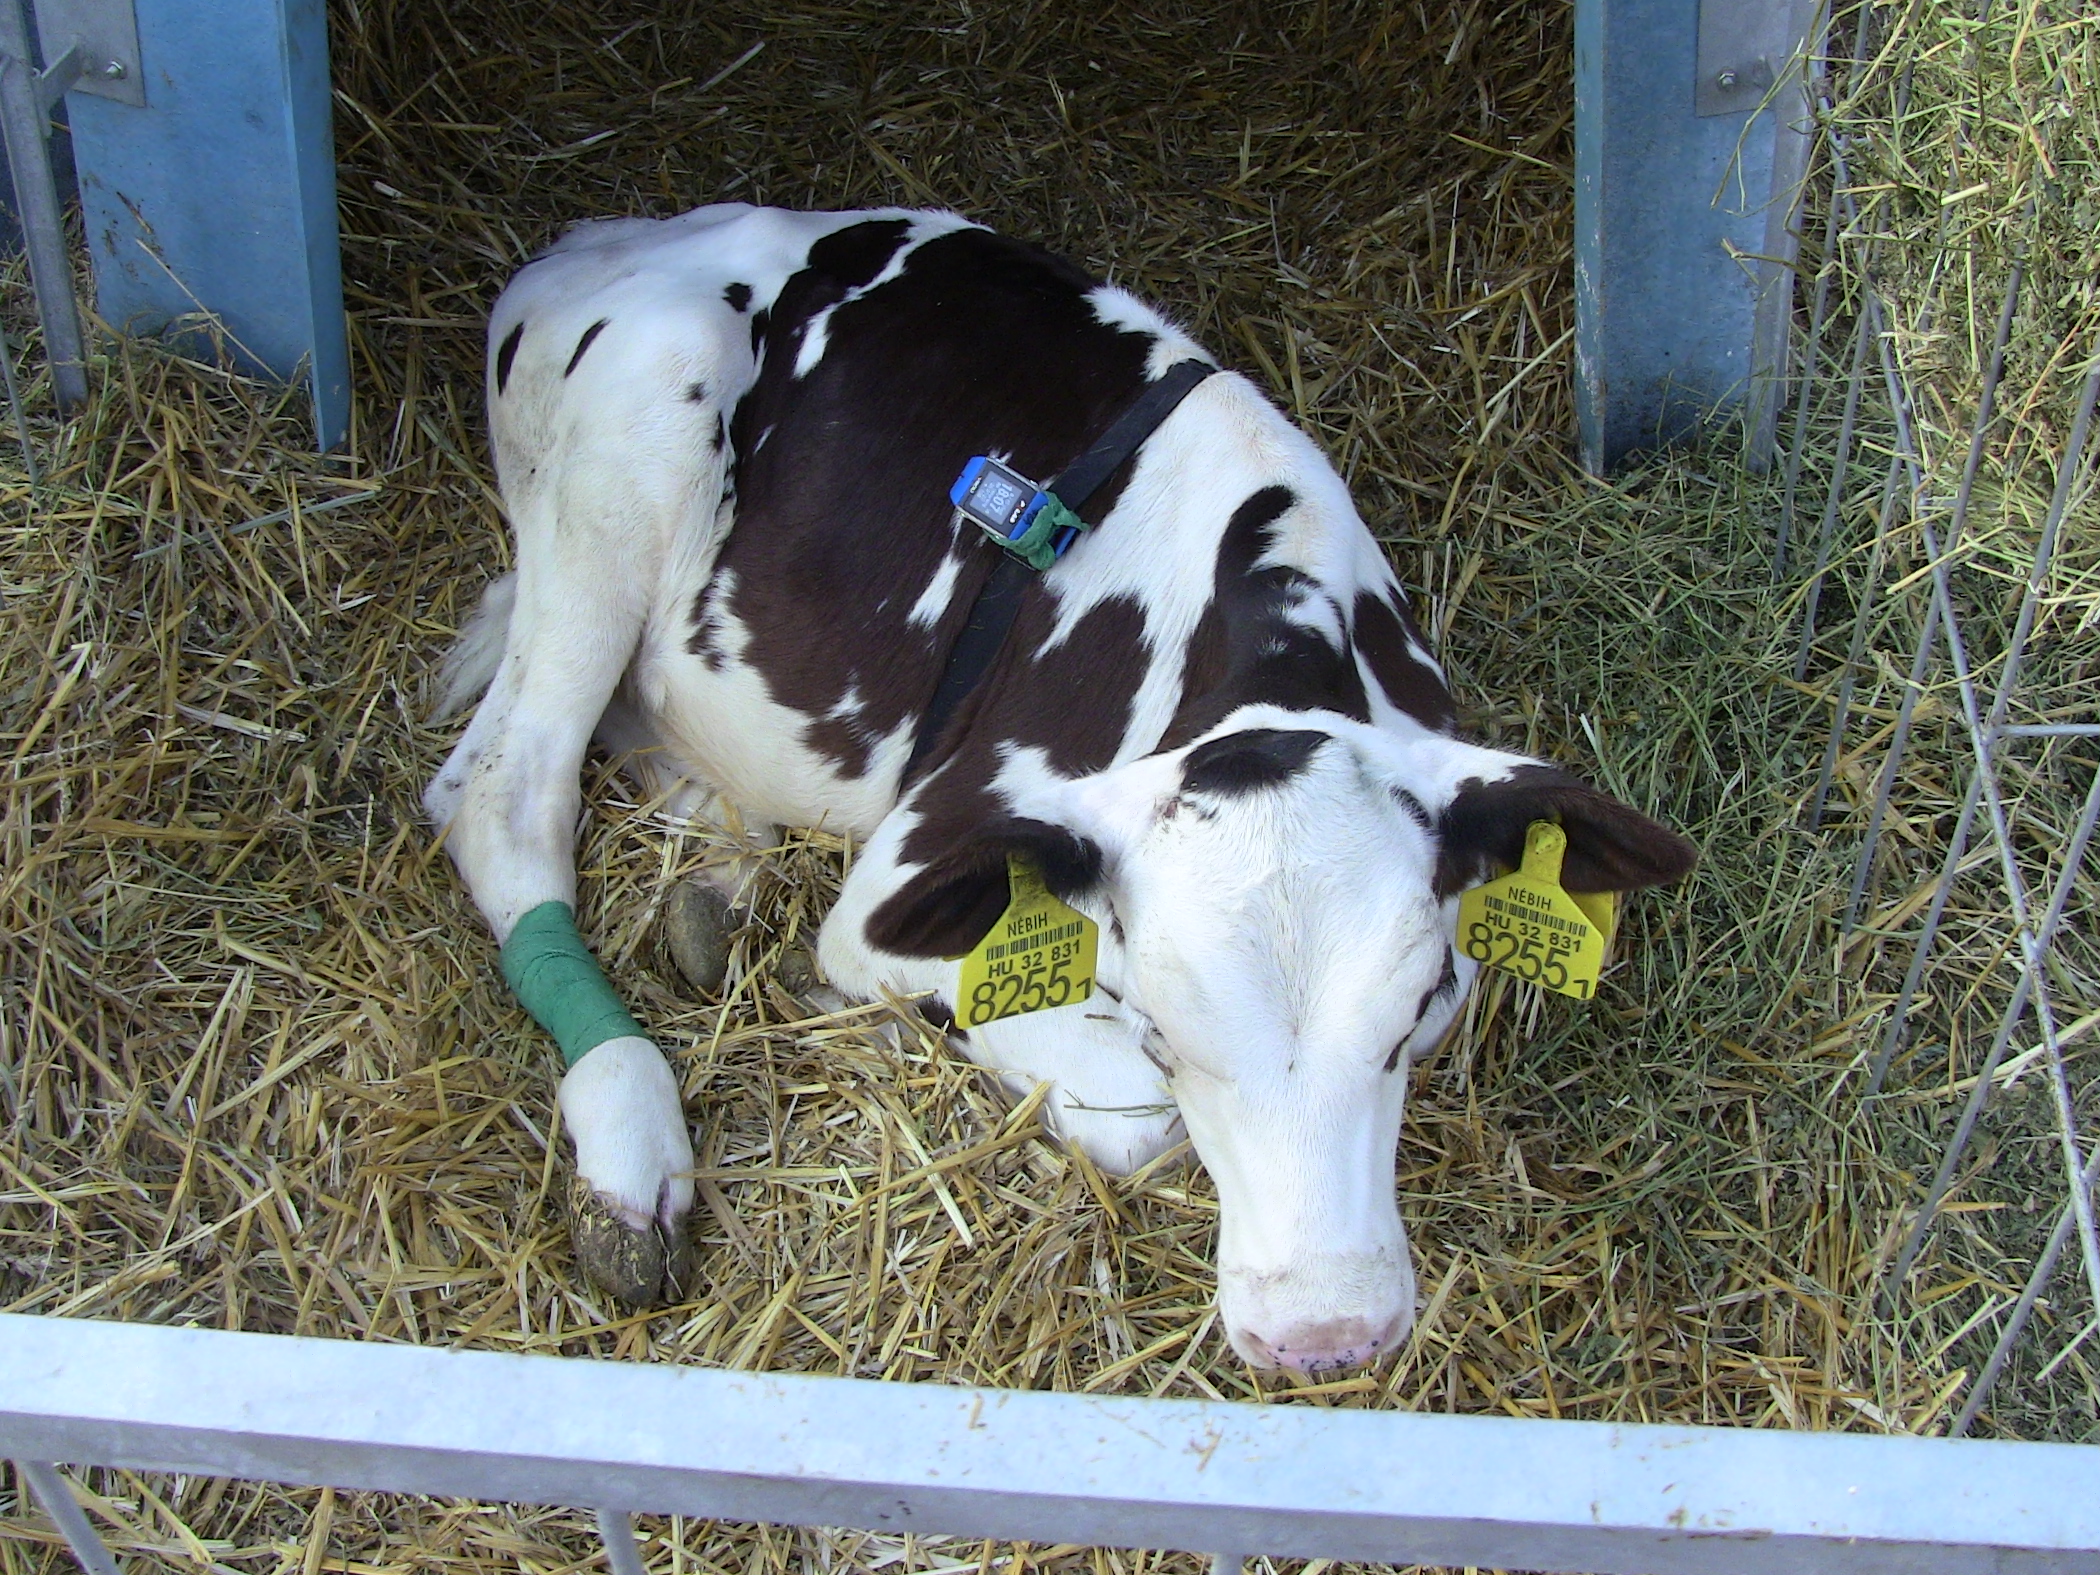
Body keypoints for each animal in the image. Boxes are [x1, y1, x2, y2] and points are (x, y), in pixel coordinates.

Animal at [422, 200, 1688, 1377]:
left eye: (1419, 1007)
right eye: (1161, 1028)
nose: (1324, 1335)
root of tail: (600, 238)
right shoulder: (904, 883)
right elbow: (1139, 1120)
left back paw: (713, 890)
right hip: (627, 448)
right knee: (497, 790)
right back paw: (628, 1146)